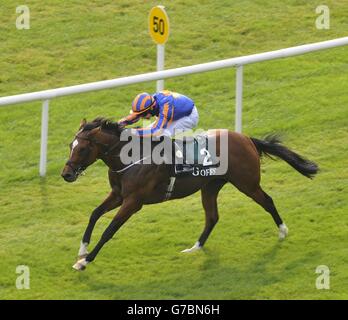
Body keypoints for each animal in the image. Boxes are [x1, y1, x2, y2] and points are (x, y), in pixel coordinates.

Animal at [60, 117, 318, 270]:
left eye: (82, 148)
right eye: (71, 145)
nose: (66, 174)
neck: (130, 158)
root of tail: (247, 139)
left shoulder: (133, 202)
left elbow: (109, 230)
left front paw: (85, 262)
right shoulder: (118, 195)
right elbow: (94, 214)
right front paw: (82, 250)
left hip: (247, 183)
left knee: (268, 201)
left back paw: (283, 231)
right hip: (210, 186)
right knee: (212, 217)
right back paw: (195, 247)